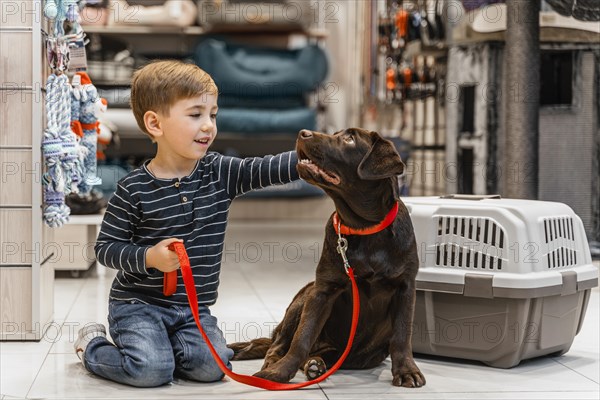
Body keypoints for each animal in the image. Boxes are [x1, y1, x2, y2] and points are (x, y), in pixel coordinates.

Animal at [227, 128, 424, 388]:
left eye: (349, 139)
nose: (302, 133)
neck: (363, 228)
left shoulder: (405, 286)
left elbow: (402, 335)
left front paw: (406, 370)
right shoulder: (322, 290)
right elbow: (302, 337)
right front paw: (279, 373)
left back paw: (315, 364)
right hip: (303, 297)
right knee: (279, 345)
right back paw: (281, 365)